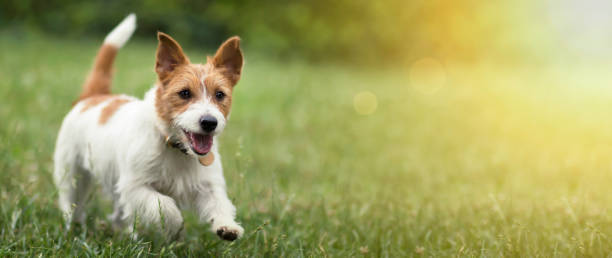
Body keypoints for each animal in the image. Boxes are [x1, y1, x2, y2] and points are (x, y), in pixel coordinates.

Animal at [52, 13, 244, 241]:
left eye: (220, 95)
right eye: (184, 93)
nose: (209, 122)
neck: (173, 145)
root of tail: (94, 96)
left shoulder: (206, 185)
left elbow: (219, 203)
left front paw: (227, 226)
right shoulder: (136, 186)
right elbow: (165, 206)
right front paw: (175, 227)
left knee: (119, 211)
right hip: (72, 172)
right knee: (71, 200)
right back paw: (73, 225)